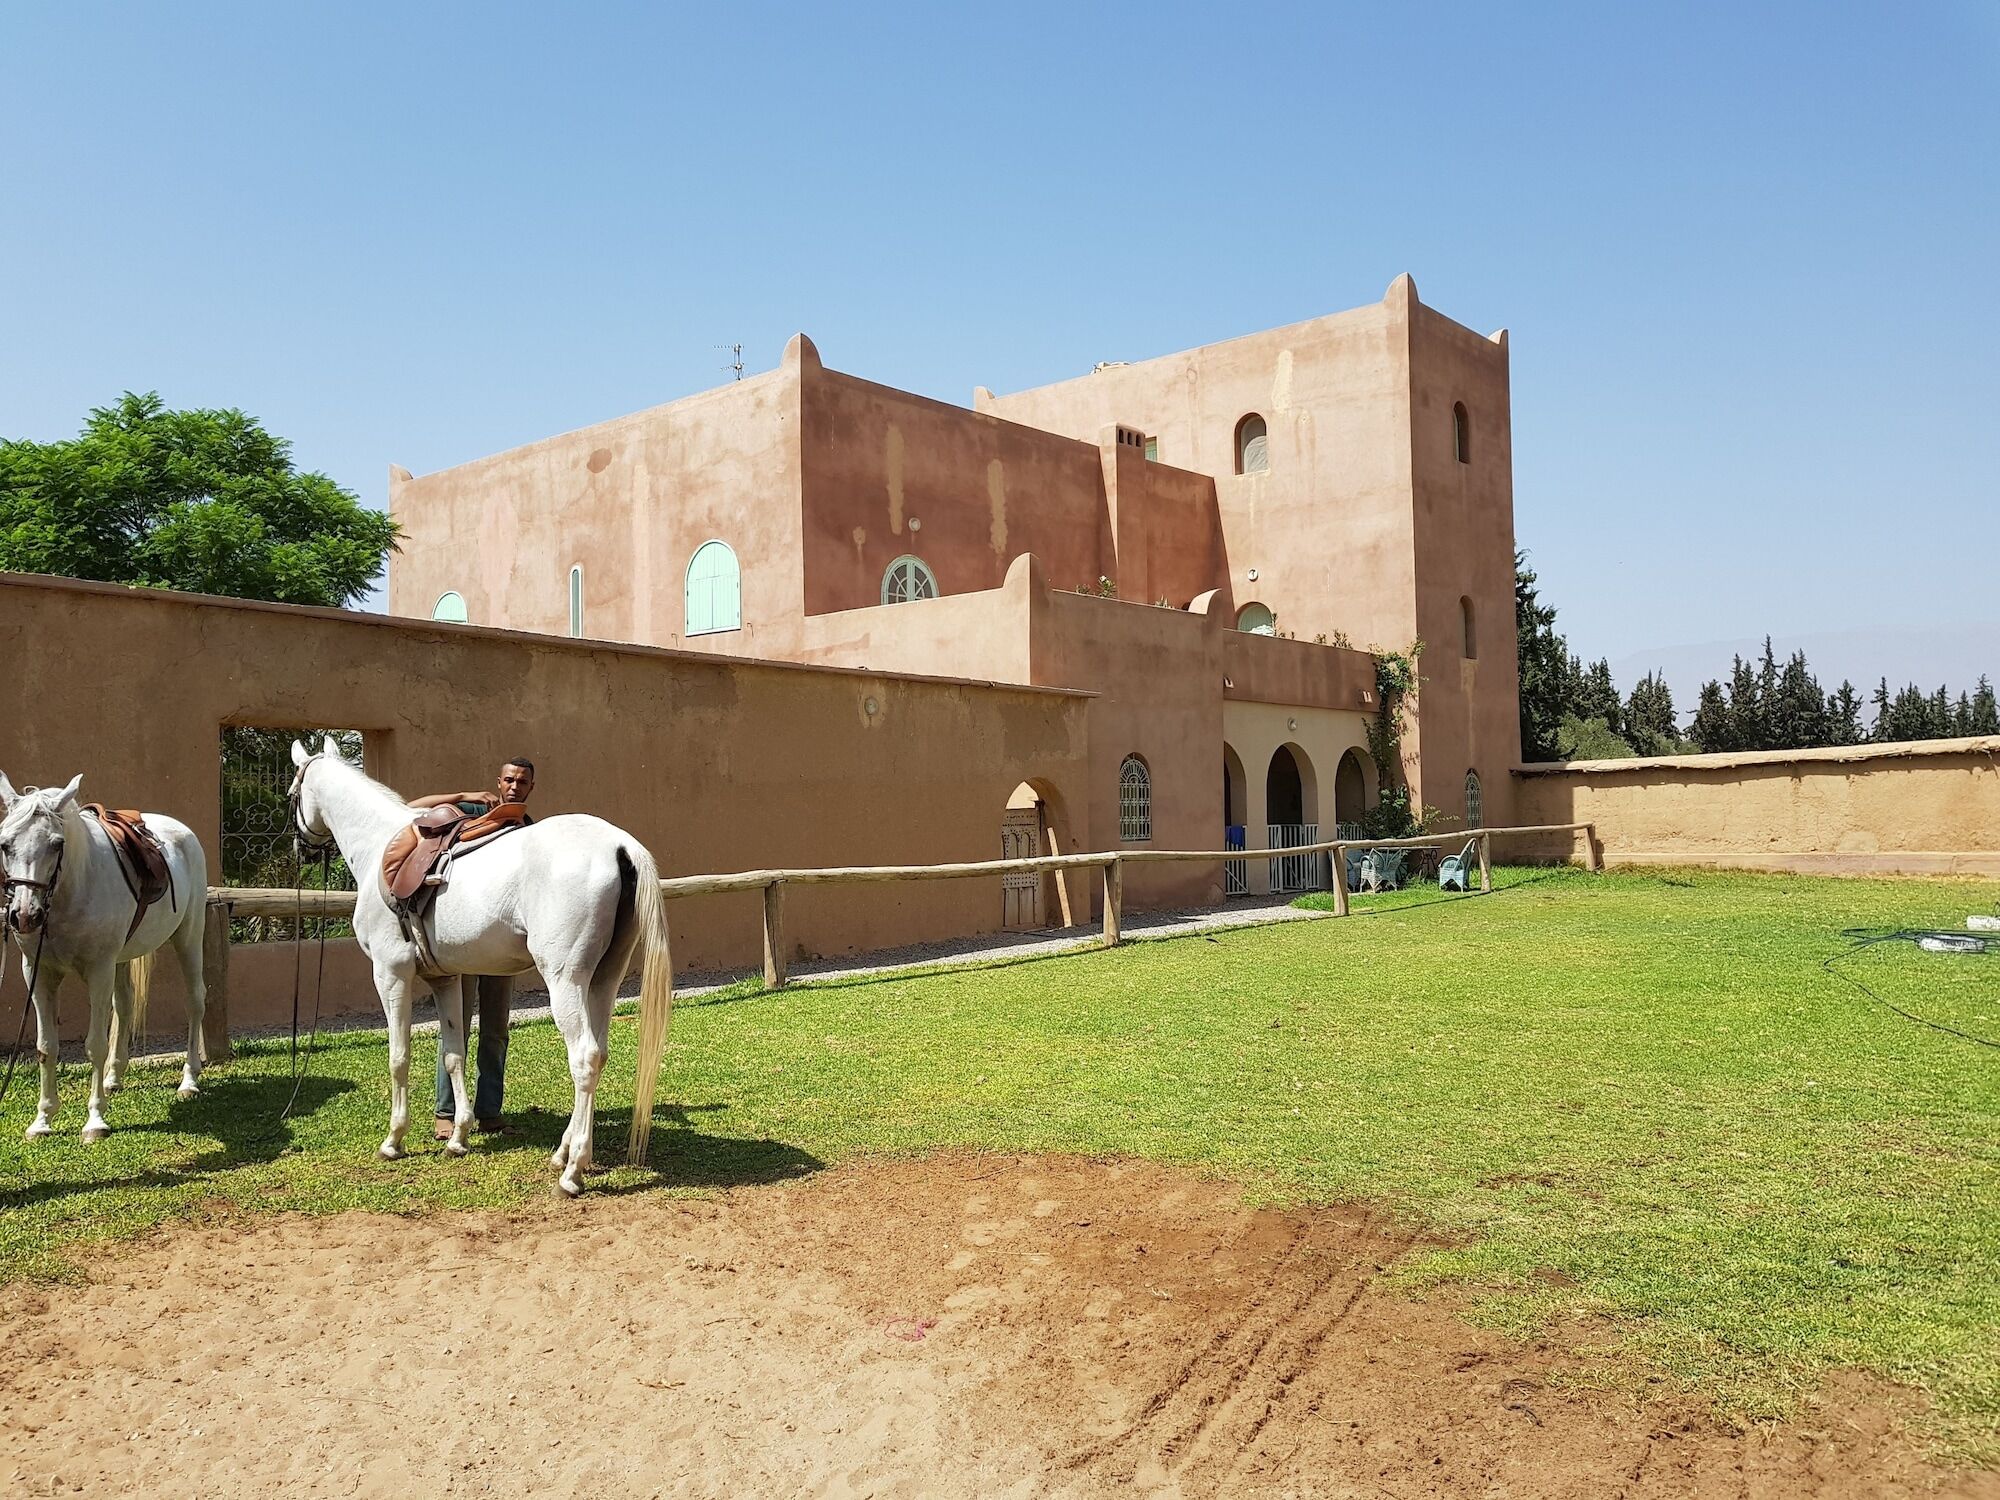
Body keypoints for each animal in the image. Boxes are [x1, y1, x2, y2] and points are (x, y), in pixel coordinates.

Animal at [0, 780, 207, 1144]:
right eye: (5, 844)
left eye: (57, 844)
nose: (25, 916)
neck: (72, 889)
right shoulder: (37, 973)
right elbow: (45, 1047)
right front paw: (42, 1120)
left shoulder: (98, 970)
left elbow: (94, 1045)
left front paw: (95, 1120)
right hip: (121, 959)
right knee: (124, 1007)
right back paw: (113, 1078)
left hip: (188, 939)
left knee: (195, 1002)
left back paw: (189, 1081)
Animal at [286, 740, 672, 1200]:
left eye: (291, 793)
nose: (301, 847)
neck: (378, 844)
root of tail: (619, 846)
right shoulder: (445, 978)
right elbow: (454, 1055)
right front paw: (458, 1137)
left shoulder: (390, 973)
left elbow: (398, 1056)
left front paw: (394, 1141)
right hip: (602, 981)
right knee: (600, 1054)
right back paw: (565, 1152)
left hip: (565, 981)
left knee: (584, 1058)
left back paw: (572, 1172)